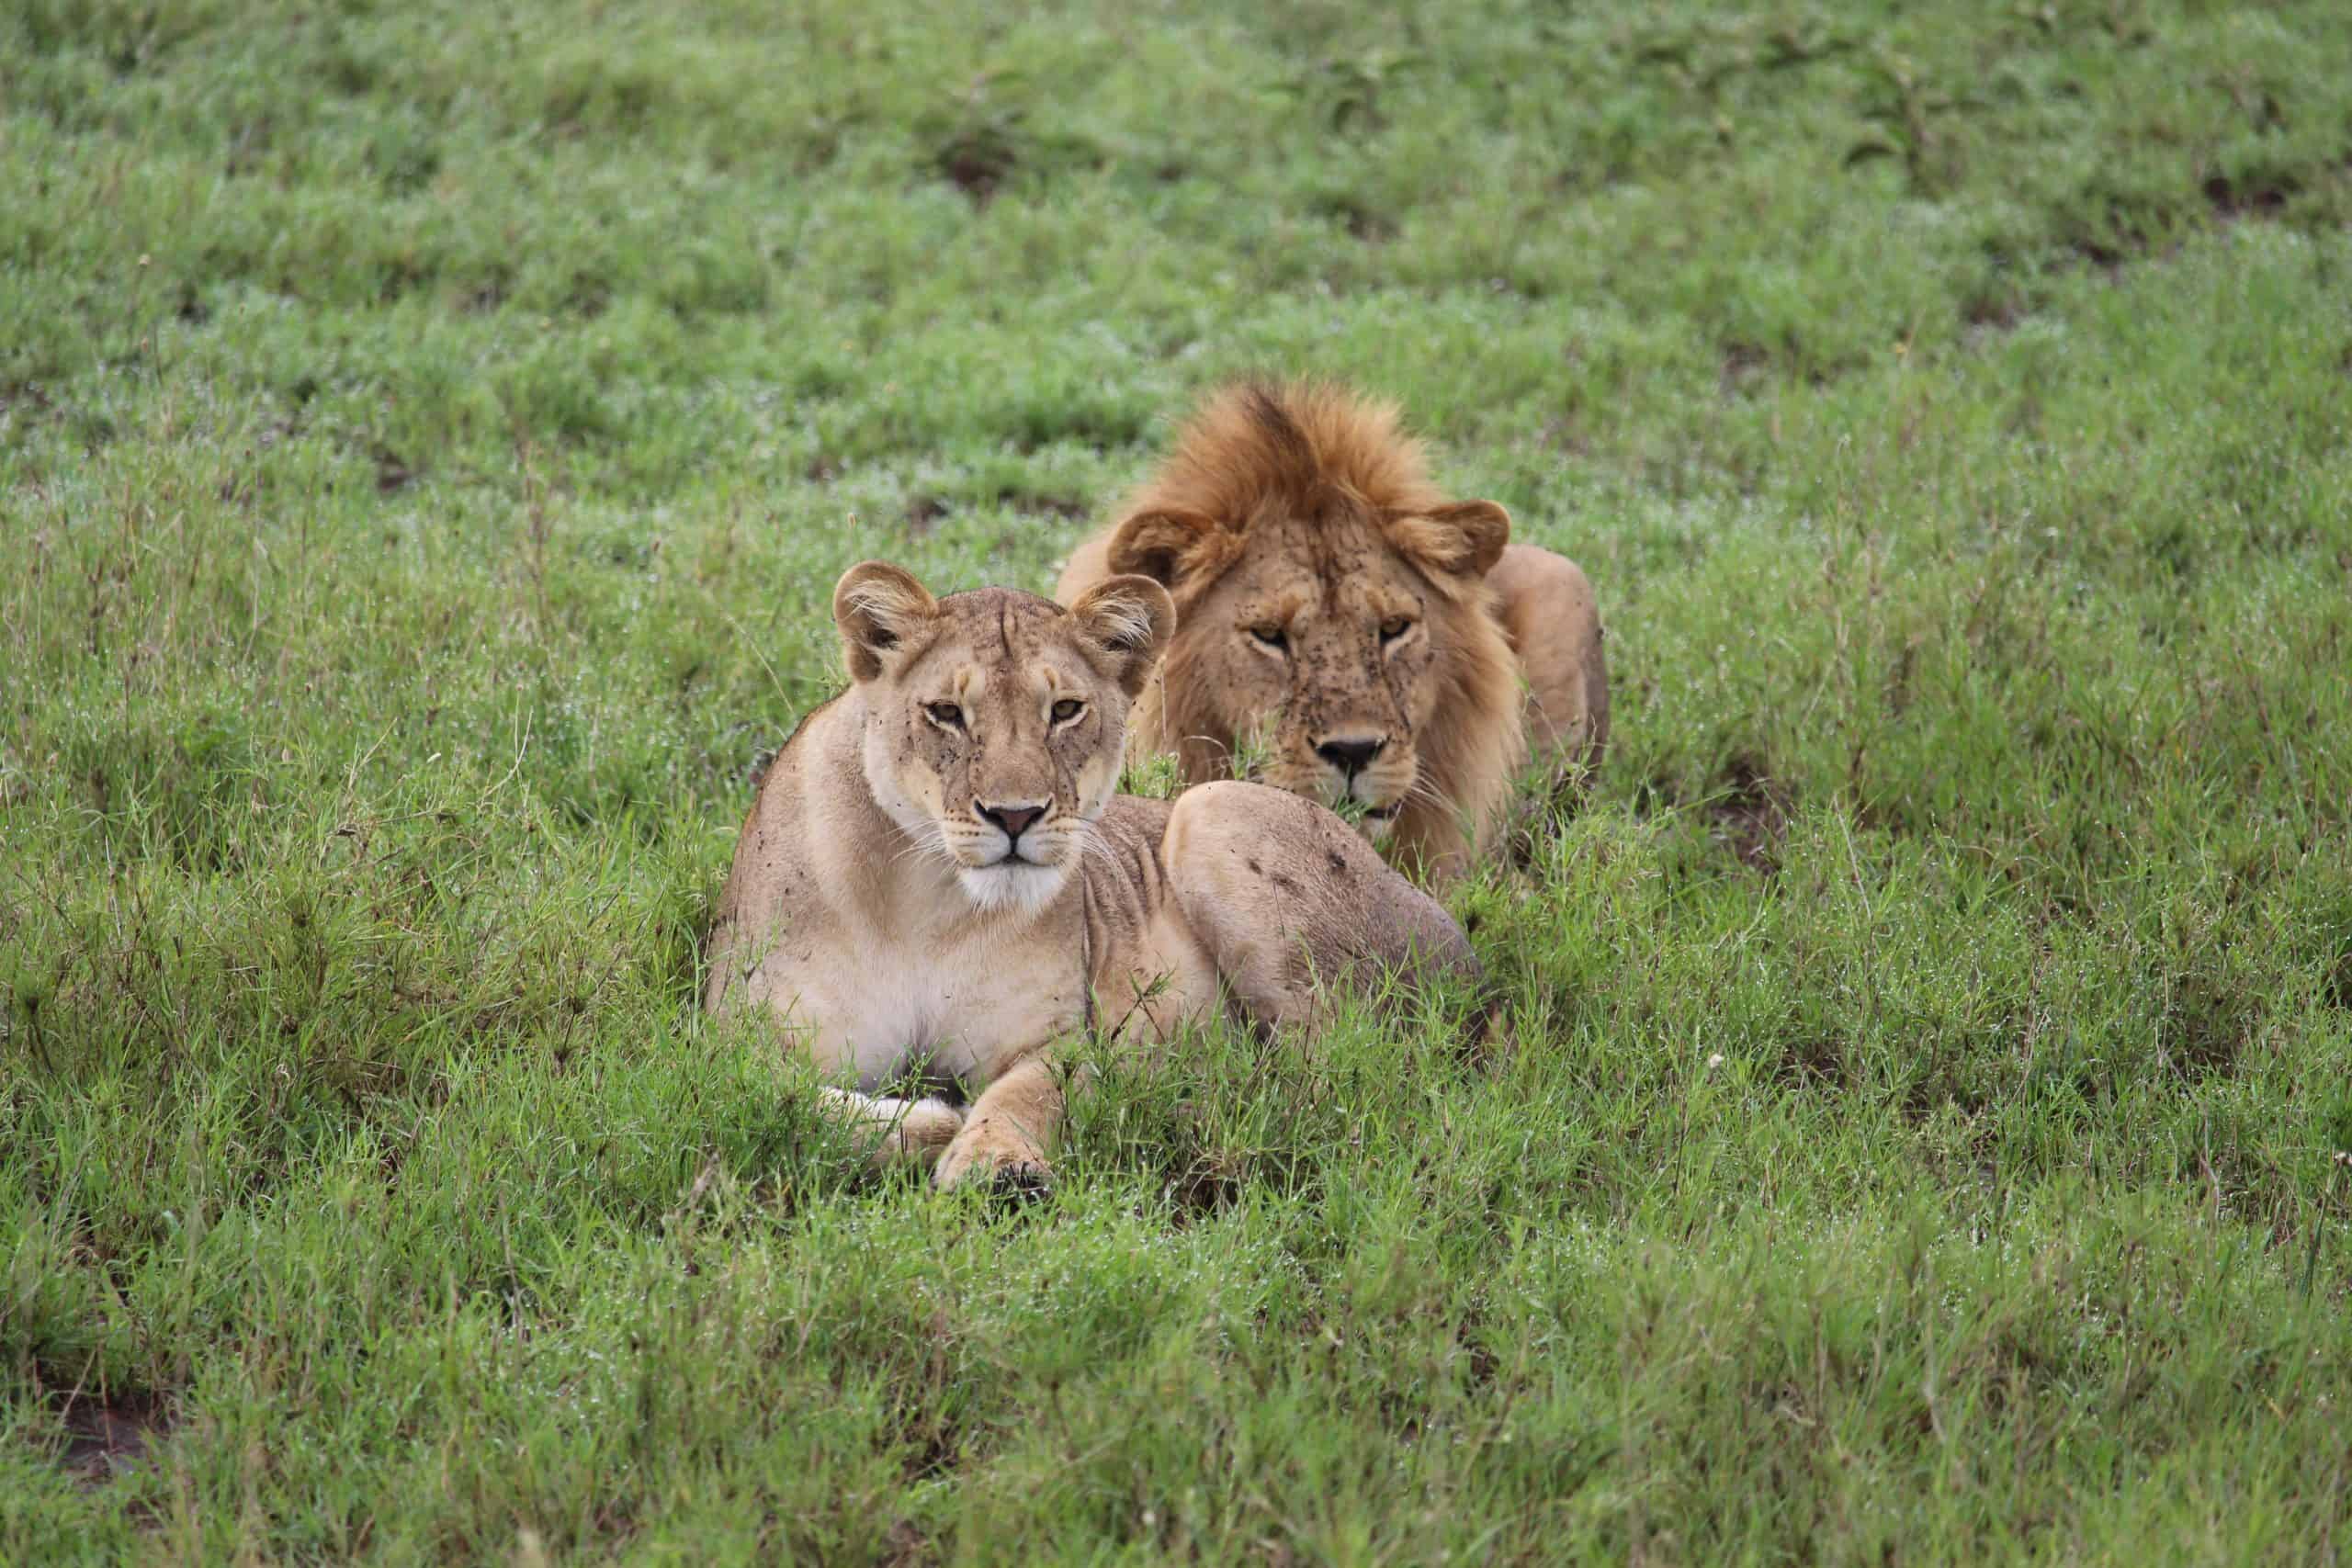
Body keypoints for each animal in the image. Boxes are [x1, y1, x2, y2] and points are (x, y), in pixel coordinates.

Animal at [702, 560, 1481, 1192]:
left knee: (1360, 1083)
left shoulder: (1056, 1039)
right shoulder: (732, 1044)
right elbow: (787, 1104)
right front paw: (932, 1120)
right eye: (946, 712)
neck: (926, 895)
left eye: (1066, 709)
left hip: (1210, 808)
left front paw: (995, 1165)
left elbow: (1027, 1095)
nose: (1015, 815)